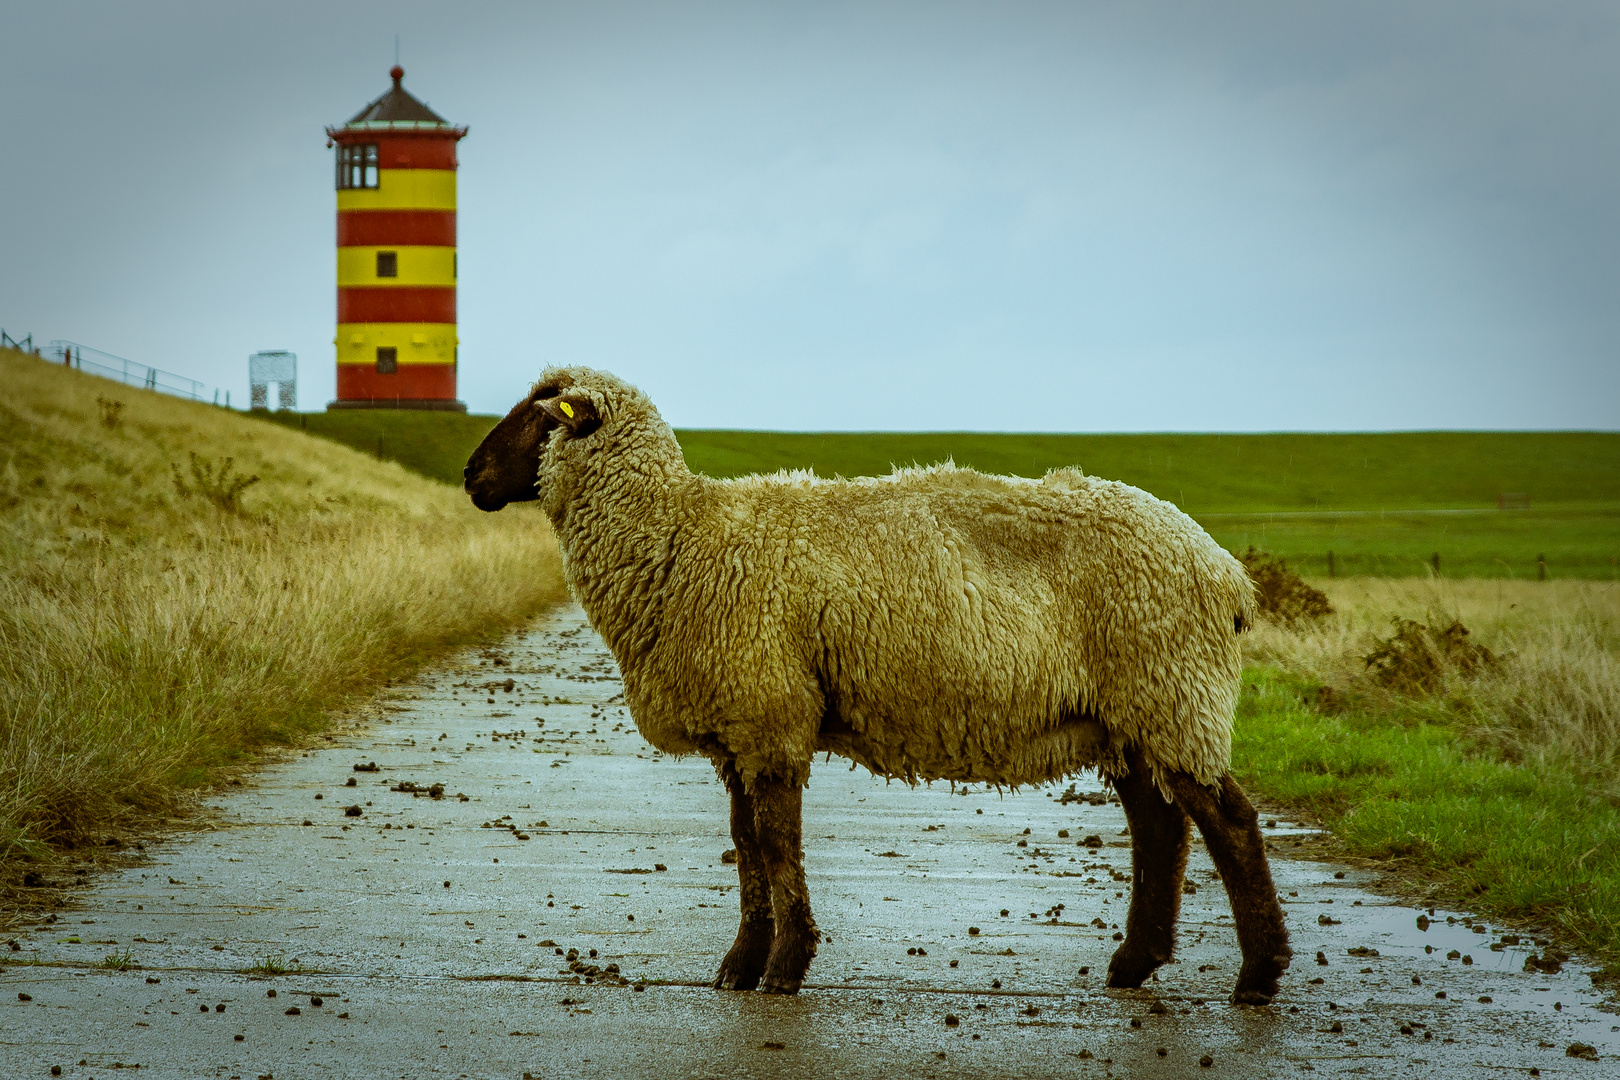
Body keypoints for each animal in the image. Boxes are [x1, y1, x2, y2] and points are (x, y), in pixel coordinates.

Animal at [460, 369, 1289, 1003]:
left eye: (540, 417)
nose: (470, 477)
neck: (680, 537)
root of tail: (1225, 571)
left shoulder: (771, 714)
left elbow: (776, 844)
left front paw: (784, 968)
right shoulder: (741, 729)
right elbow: (746, 846)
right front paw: (742, 966)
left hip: (1170, 687)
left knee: (1229, 824)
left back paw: (1258, 976)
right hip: (1131, 711)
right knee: (1160, 827)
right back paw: (1133, 965)